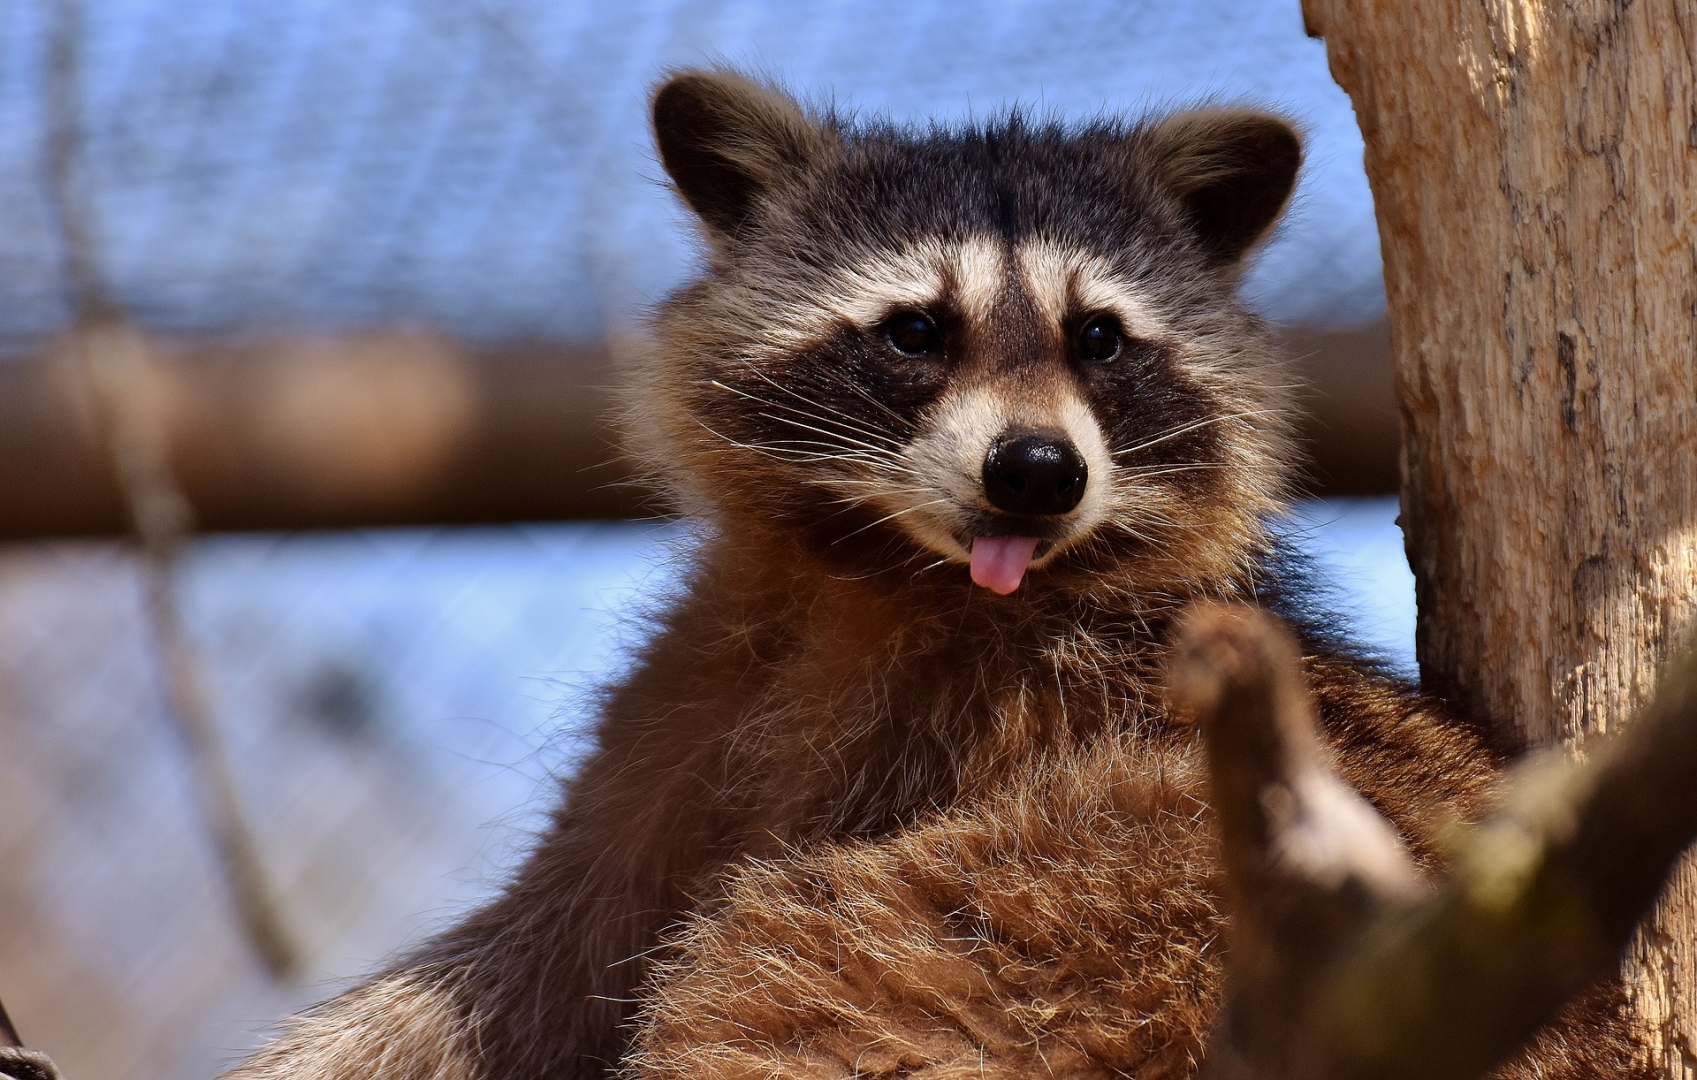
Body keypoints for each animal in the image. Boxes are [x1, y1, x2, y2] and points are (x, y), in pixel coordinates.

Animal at [222, 73, 1642, 1080]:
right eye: (916, 331)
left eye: (1098, 339)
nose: (1036, 471)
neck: (895, 577)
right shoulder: (697, 700)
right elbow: (533, 951)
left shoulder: (1045, 726)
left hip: (1108, 906)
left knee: (796, 969)